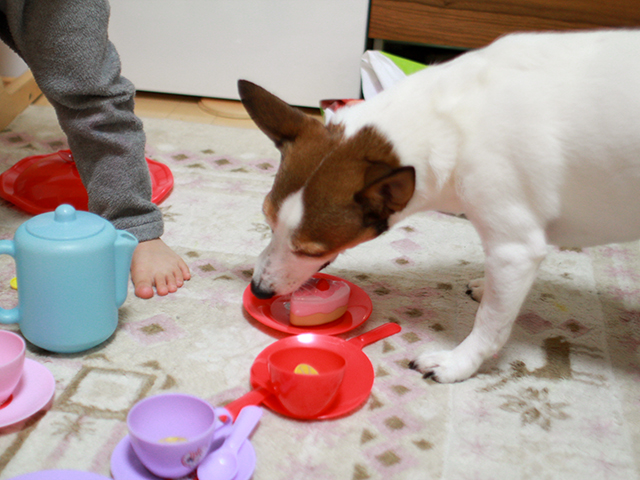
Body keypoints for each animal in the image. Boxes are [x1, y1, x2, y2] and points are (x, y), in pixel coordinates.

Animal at [238, 29, 640, 382]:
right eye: (267, 221)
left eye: (312, 251)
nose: (259, 290)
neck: (450, 125)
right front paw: (487, 288)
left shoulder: (515, 248)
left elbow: (491, 323)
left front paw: (459, 363)